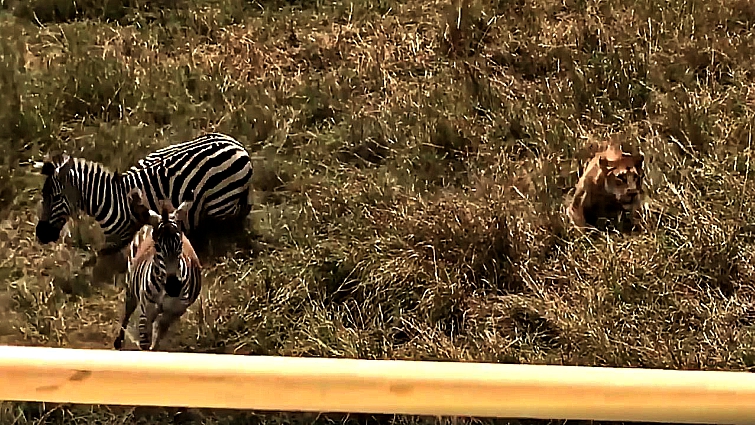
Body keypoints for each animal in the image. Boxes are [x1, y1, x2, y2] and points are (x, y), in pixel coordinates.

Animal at [34, 132, 254, 257]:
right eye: (43, 196)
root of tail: (237, 145)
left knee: (236, 216)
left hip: (221, 202)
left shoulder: (118, 237)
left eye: (56, 198)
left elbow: (98, 255)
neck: (109, 199)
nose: (40, 235)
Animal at [114, 188, 202, 351]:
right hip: (131, 283)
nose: (174, 287)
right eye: (157, 246)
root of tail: (155, 213)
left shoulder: (173, 312)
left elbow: (158, 336)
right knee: (128, 310)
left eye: (181, 244)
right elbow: (145, 342)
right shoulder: (146, 311)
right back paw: (118, 341)